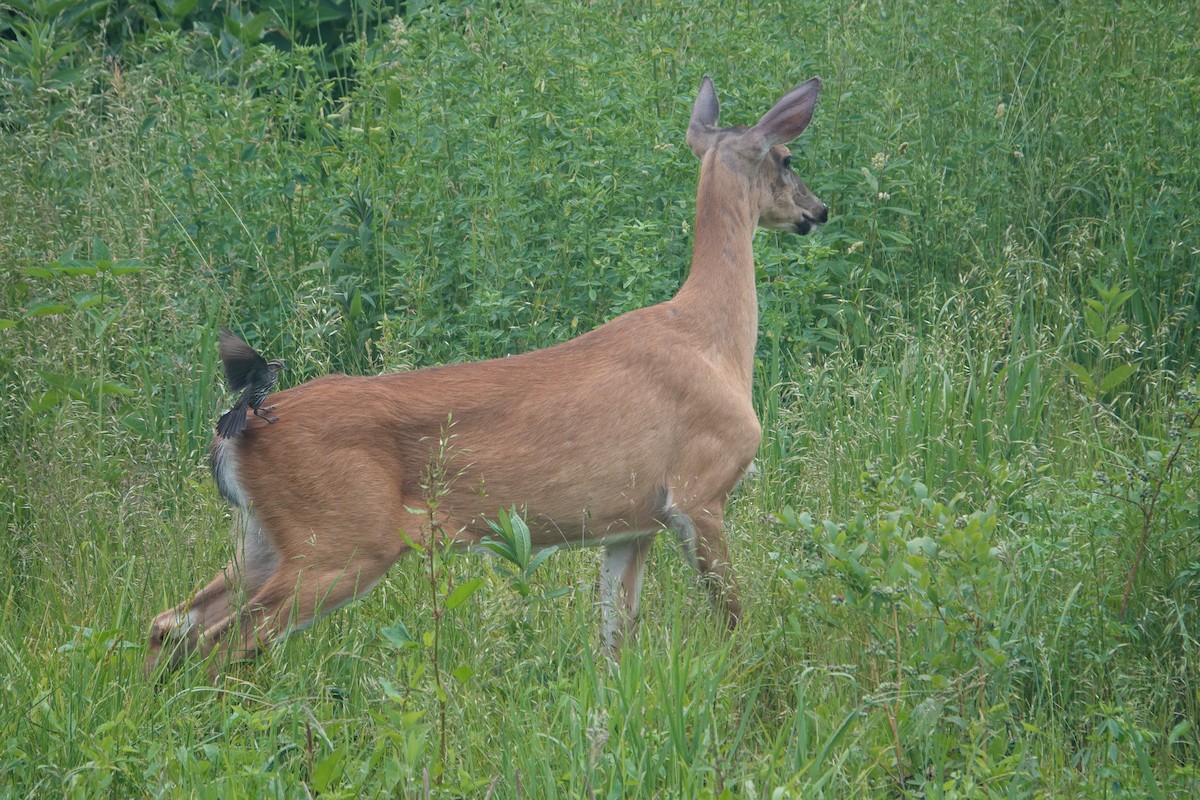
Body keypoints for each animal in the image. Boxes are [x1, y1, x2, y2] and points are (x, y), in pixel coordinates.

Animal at [145, 76, 825, 676]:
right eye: (787, 157)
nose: (817, 210)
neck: (713, 338)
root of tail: (237, 428)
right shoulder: (699, 490)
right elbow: (731, 615)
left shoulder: (630, 523)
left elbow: (615, 638)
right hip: (338, 542)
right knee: (224, 640)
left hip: (264, 538)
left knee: (169, 624)